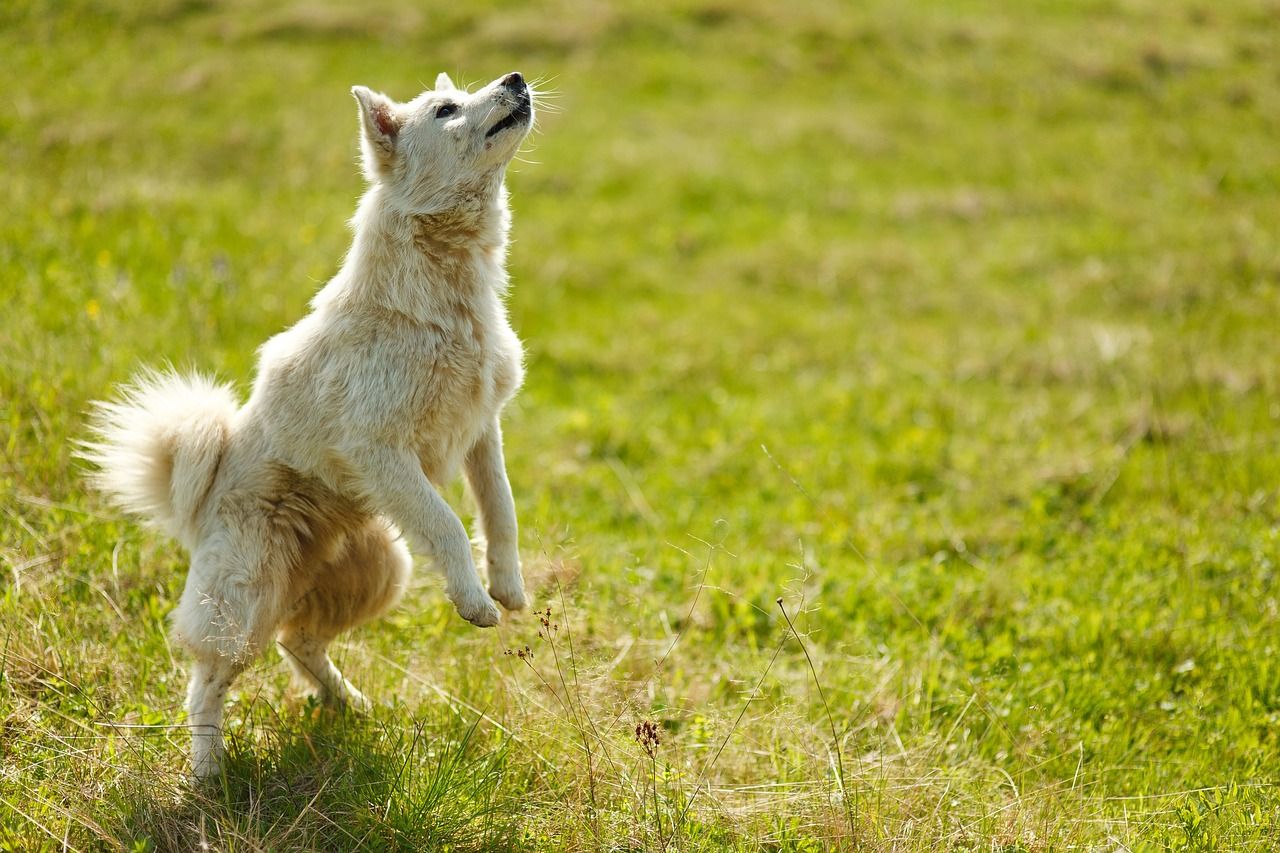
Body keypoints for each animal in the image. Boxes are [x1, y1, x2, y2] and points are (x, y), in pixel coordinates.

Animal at [81, 71, 540, 778]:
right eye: (446, 109)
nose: (515, 79)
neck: (443, 297)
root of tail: (196, 502)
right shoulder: (380, 446)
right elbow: (447, 524)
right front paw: (474, 602)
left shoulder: (481, 429)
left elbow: (501, 512)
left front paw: (508, 589)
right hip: (244, 603)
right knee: (206, 681)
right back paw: (209, 772)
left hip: (379, 570)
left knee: (299, 641)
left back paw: (348, 703)